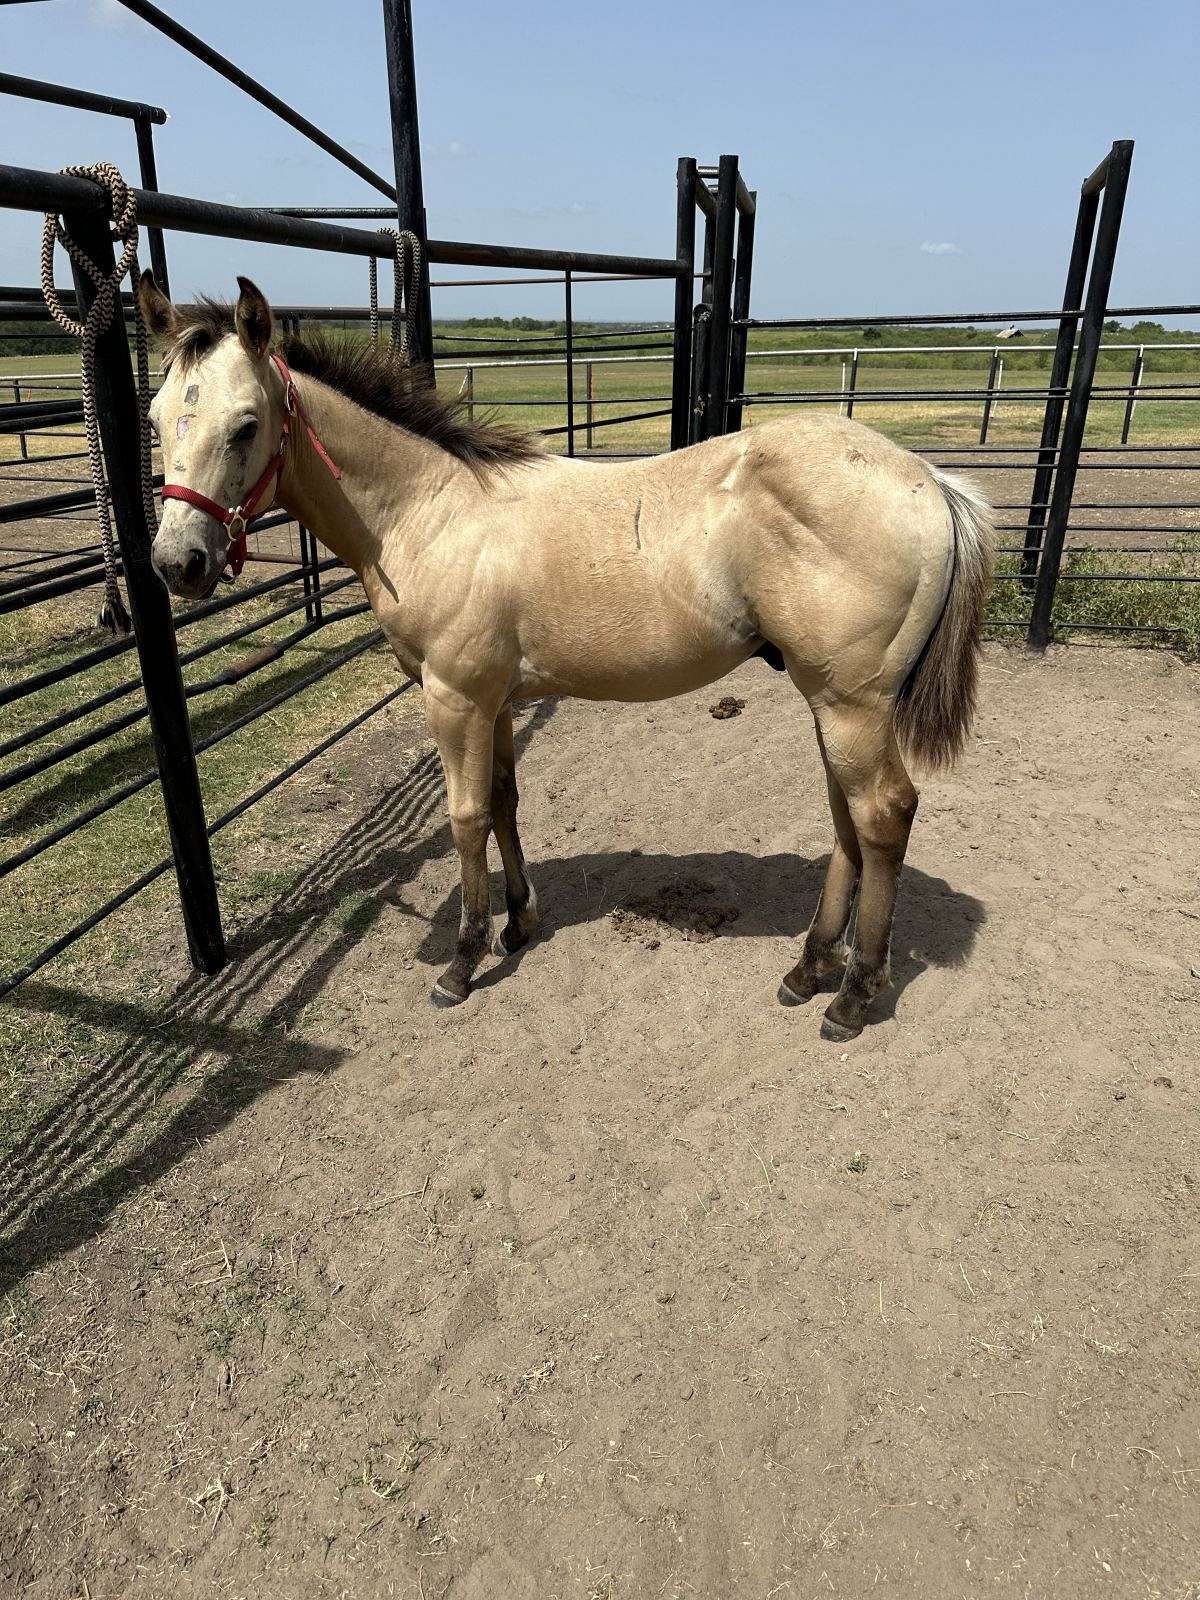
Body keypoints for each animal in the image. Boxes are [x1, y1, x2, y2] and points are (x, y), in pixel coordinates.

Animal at [138, 275, 998, 1043]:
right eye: (155, 419)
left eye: (246, 425)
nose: (178, 563)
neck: (430, 511)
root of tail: (929, 481)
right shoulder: (495, 700)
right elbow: (505, 803)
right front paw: (519, 924)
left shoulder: (453, 697)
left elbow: (465, 818)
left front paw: (461, 962)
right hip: (831, 702)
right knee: (847, 820)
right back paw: (809, 966)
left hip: (853, 704)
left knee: (882, 815)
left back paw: (852, 995)